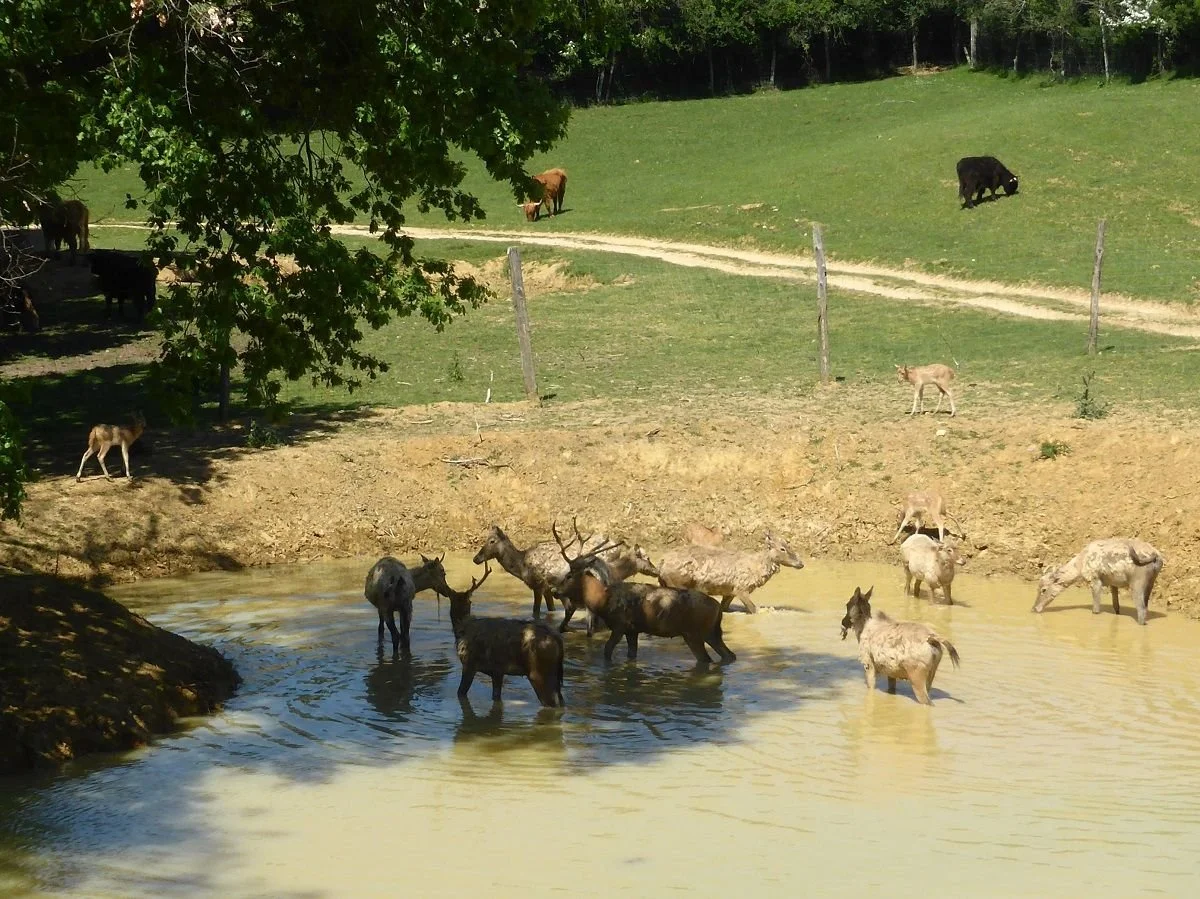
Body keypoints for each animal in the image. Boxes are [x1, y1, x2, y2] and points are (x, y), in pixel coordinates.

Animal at [448, 562, 566, 708]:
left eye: (469, 602)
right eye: (454, 600)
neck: (462, 630)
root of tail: (558, 640)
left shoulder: (469, 663)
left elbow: (460, 693)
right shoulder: (497, 671)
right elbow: (496, 697)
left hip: (538, 673)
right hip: (555, 674)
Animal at [550, 523, 736, 666]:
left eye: (568, 575)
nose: (554, 591)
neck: (602, 599)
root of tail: (718, 610)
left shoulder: (620, 625)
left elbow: (607, 652)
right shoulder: (633, 630)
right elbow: (631, 655)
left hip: (693, 633)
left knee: (706, 659)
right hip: (712, 632)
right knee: (729, 655)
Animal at [656, 530, 805, 614]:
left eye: (788, 545)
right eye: (782, 549)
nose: (801, 563)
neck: (758, 569)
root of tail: (661, 563)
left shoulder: (730, 591)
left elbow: (724, 608)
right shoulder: (741, 589)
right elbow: (754, 609)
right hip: (677, 584)